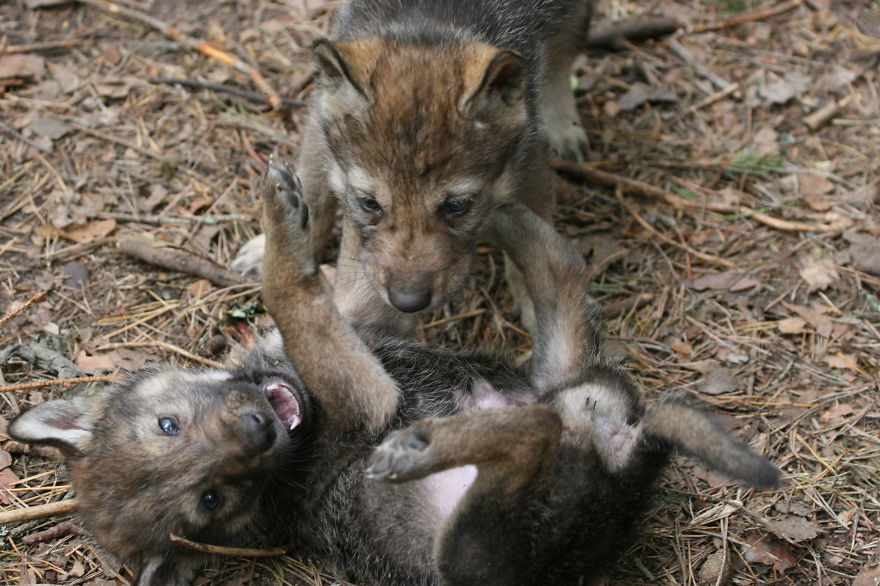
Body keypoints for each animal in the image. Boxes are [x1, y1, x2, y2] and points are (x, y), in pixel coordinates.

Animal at [11, 159, 780, 586]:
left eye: (168, 423)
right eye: (210, 500)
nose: (259, 429)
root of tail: (623, 468)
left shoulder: (359, 317)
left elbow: (307, 285)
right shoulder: (368, 392)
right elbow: (290, 292)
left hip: (566, 379)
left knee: (561, 283)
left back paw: (511, 217)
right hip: (475, 551)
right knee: (529, 431)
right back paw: (425, 447)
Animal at [232, 0, 596, 336]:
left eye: (458, 206)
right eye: (369, 203)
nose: (408, 302)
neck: (428, 22)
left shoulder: (528, 152)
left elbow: (531, 236)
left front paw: (540, 299)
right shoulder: (318, 116)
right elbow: (313, 186)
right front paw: (274, 245)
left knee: (567, 49)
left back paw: (564, 125)